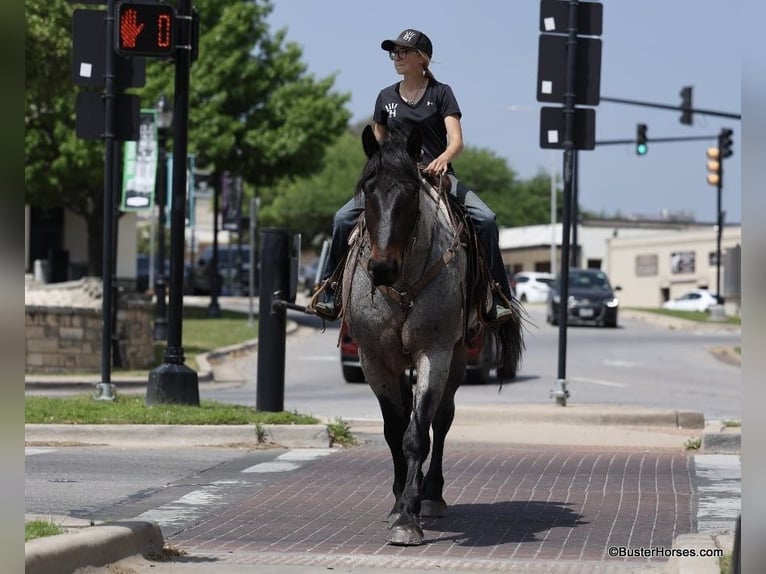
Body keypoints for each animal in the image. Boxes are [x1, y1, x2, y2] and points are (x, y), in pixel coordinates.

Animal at [344, 126, 528, 548]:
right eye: (367, 190)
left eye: (411, 193)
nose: (381, 267)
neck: (403, 283)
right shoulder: (374, 358)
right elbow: (394, 429)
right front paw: (398, 501)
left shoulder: (436, 352)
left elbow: (418, 434)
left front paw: (408, 516)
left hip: (458, 357)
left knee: (441, 420)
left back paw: (432, 494)